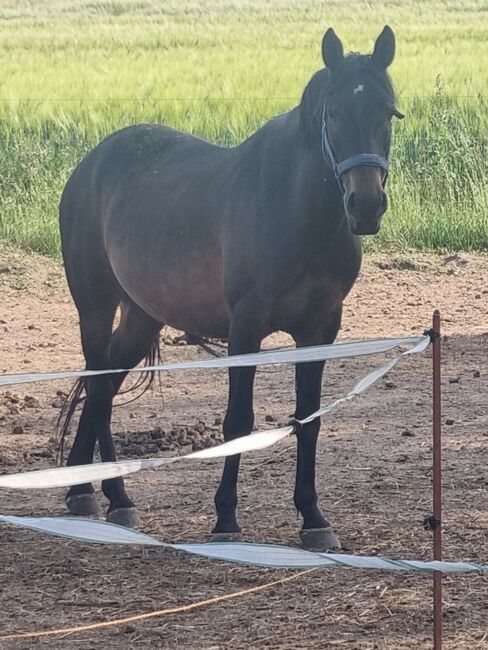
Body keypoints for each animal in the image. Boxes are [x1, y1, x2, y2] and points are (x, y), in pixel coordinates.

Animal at [60, 27, 404, 548]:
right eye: (333, 114)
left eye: (387, 111)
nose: (365, 206)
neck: (297, 210)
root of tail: (89, 165)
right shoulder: (246, 327)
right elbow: (238, 421)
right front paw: (225, 519)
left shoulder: (321, 328)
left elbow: (309, 419)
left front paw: (314, 518)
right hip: (95, 308)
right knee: (99, 387)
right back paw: (101, 495)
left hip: (141, 317)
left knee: (105, 388)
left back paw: (99, 494)